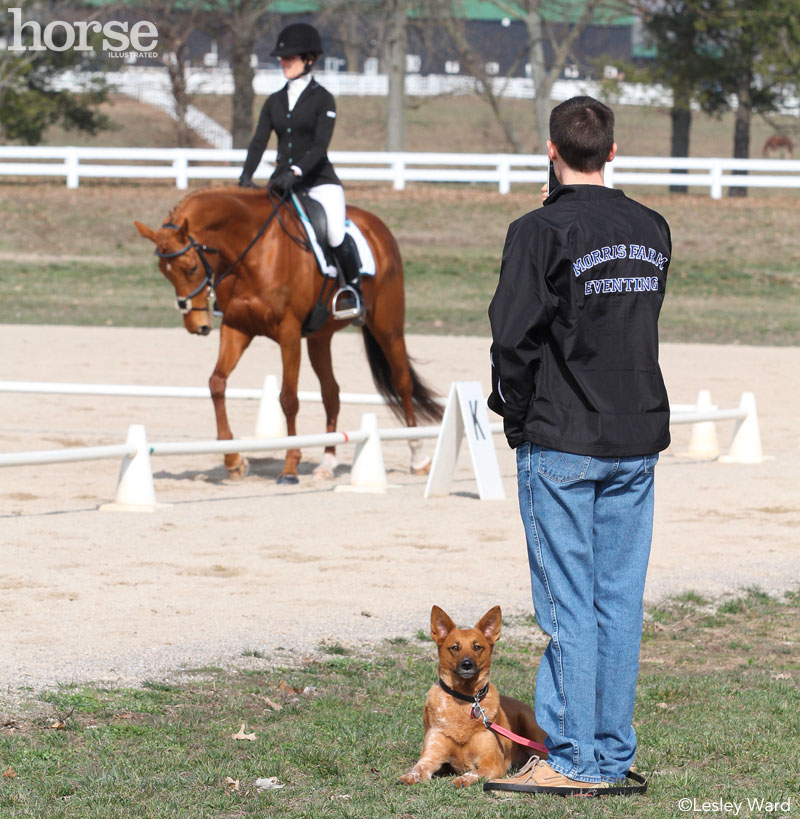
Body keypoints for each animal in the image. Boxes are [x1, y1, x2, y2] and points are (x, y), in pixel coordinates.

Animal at [134, 189, 440, 484]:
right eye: (165, 273)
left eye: (192, 268)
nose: (196, 325)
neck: (252, 253)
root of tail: (377, 225)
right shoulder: (237, 328)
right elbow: (217, 383)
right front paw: (234, 462)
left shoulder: (289, 334)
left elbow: (288, 399)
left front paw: (290, 468)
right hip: (320, 338)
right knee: (331, 392)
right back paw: (327, 463)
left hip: (387, 326)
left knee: (402, 383)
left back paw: (418, 458)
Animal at [398, 608, 548, 788]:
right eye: (455, 647)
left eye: (477, 647)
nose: (467, 664)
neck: (464, 699)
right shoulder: (430, 756)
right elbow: (418, 768)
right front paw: (408, 776)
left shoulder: (492, 763)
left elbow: (474, 772)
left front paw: (463, 779)